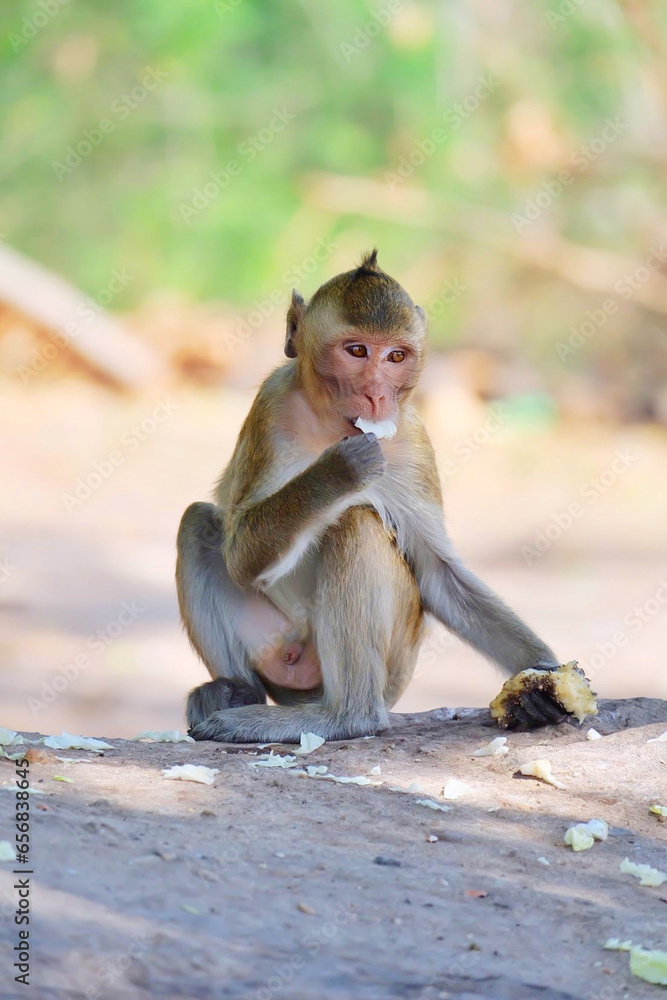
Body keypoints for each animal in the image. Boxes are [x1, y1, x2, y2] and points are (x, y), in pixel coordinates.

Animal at [175, 250, 568, 744]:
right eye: (357, 351)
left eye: (396, 355)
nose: (377, 396)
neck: (331, 426)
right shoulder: (271, 408)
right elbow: (242, 556)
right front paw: (338, 471)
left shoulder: (414, 439)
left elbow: (438, 572)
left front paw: (545, 674)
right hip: (278, 647)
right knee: (199, 523)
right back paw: (242, 692)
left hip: (393, 667)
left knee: (354, 525)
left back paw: (345, 716)